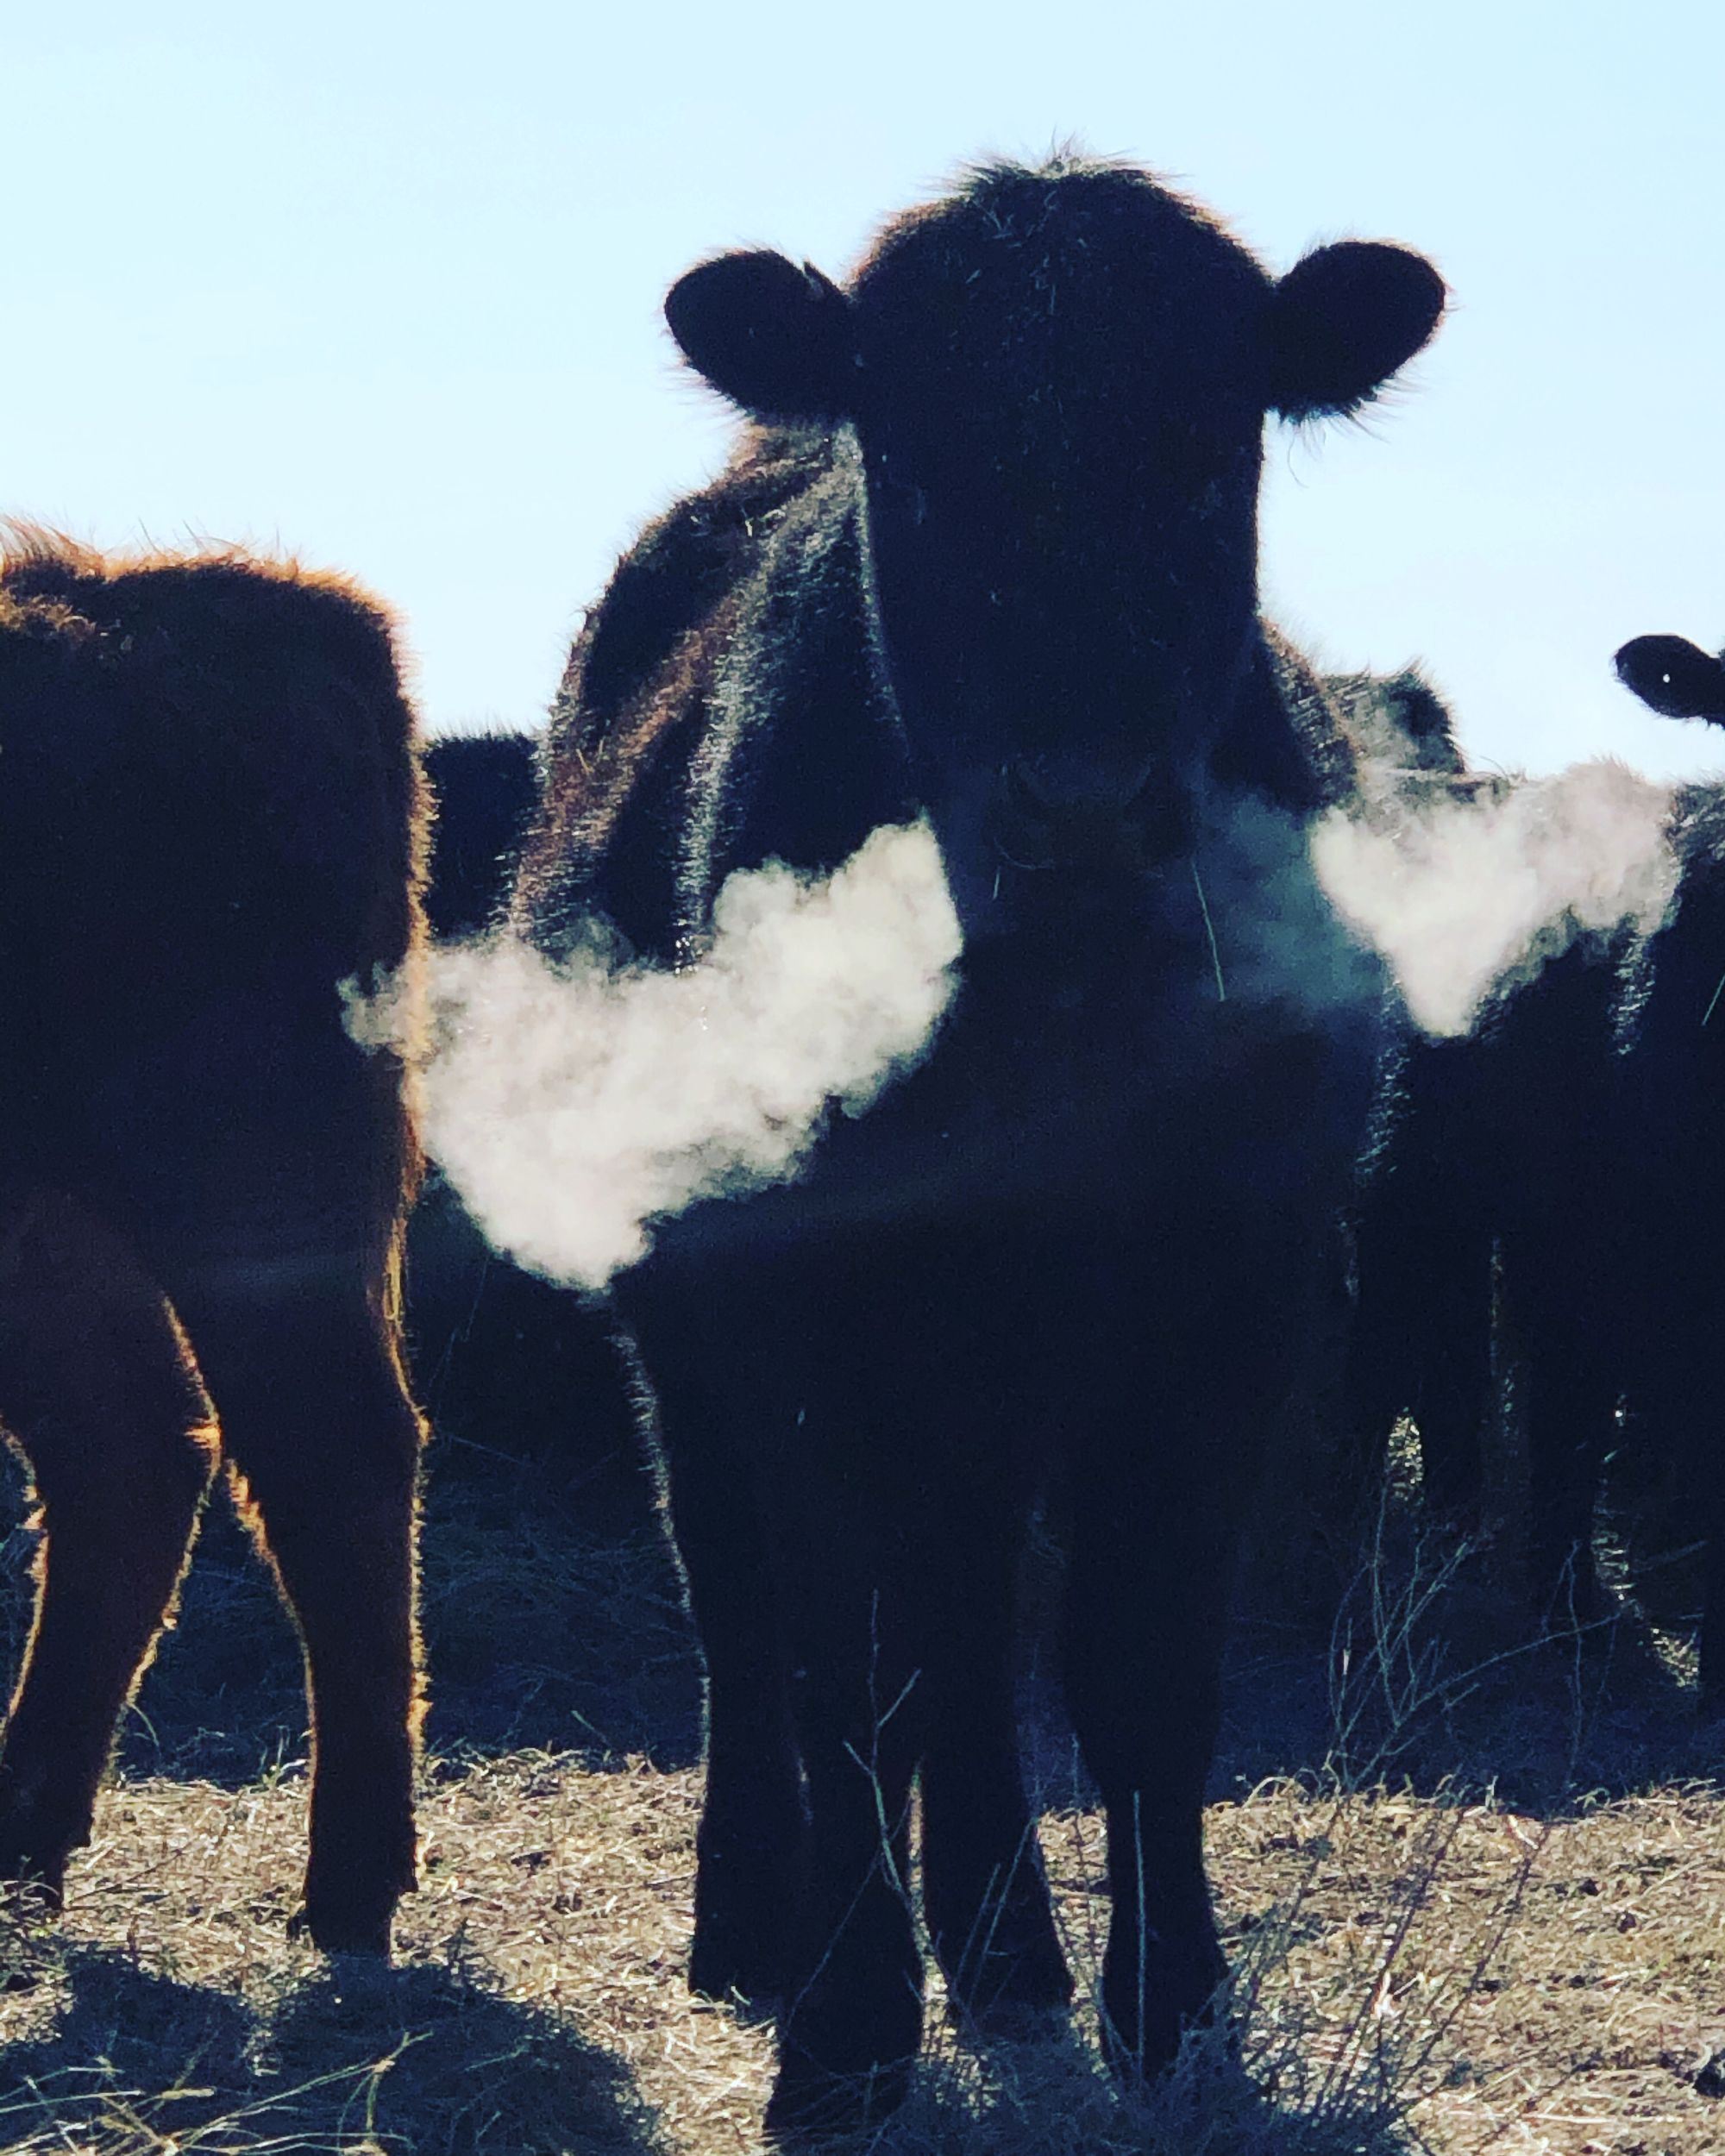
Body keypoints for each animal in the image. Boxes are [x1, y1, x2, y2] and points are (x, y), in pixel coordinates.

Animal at [507, 155, 1445, 2135]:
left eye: (1209, 452)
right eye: (918, 463)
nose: (1080, 806)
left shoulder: (1238, 1289)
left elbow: (1135, 1668)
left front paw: (1171, 2010)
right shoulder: (800, 1307)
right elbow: (842, 1659)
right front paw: (848, 2036)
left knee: (968, 1621)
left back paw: (1006, 1955)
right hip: (684, 1321)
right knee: (743, 1603)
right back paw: (761, 1927)